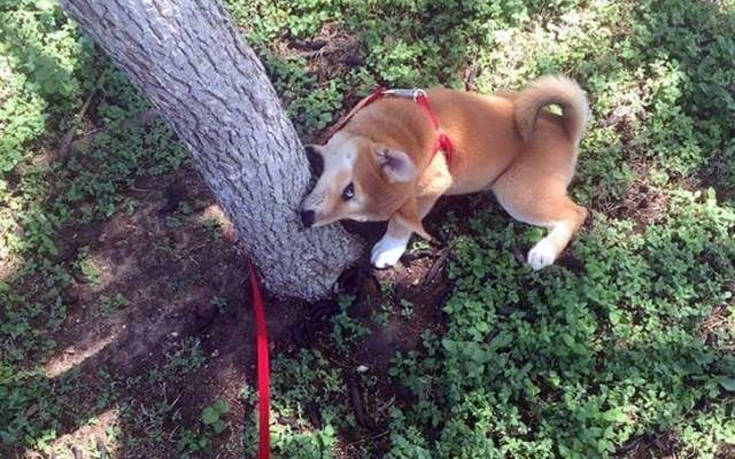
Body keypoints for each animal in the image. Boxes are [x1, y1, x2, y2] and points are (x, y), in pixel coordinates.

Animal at [300, 75, 592, 270]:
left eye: (350, 191)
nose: (306, 219)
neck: (399, 132)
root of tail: (564, 127)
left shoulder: (434, 186)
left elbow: (403, 222)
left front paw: (390, 248)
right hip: (510, 97)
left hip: (516, 193)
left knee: (576, 212)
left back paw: (545, 251)